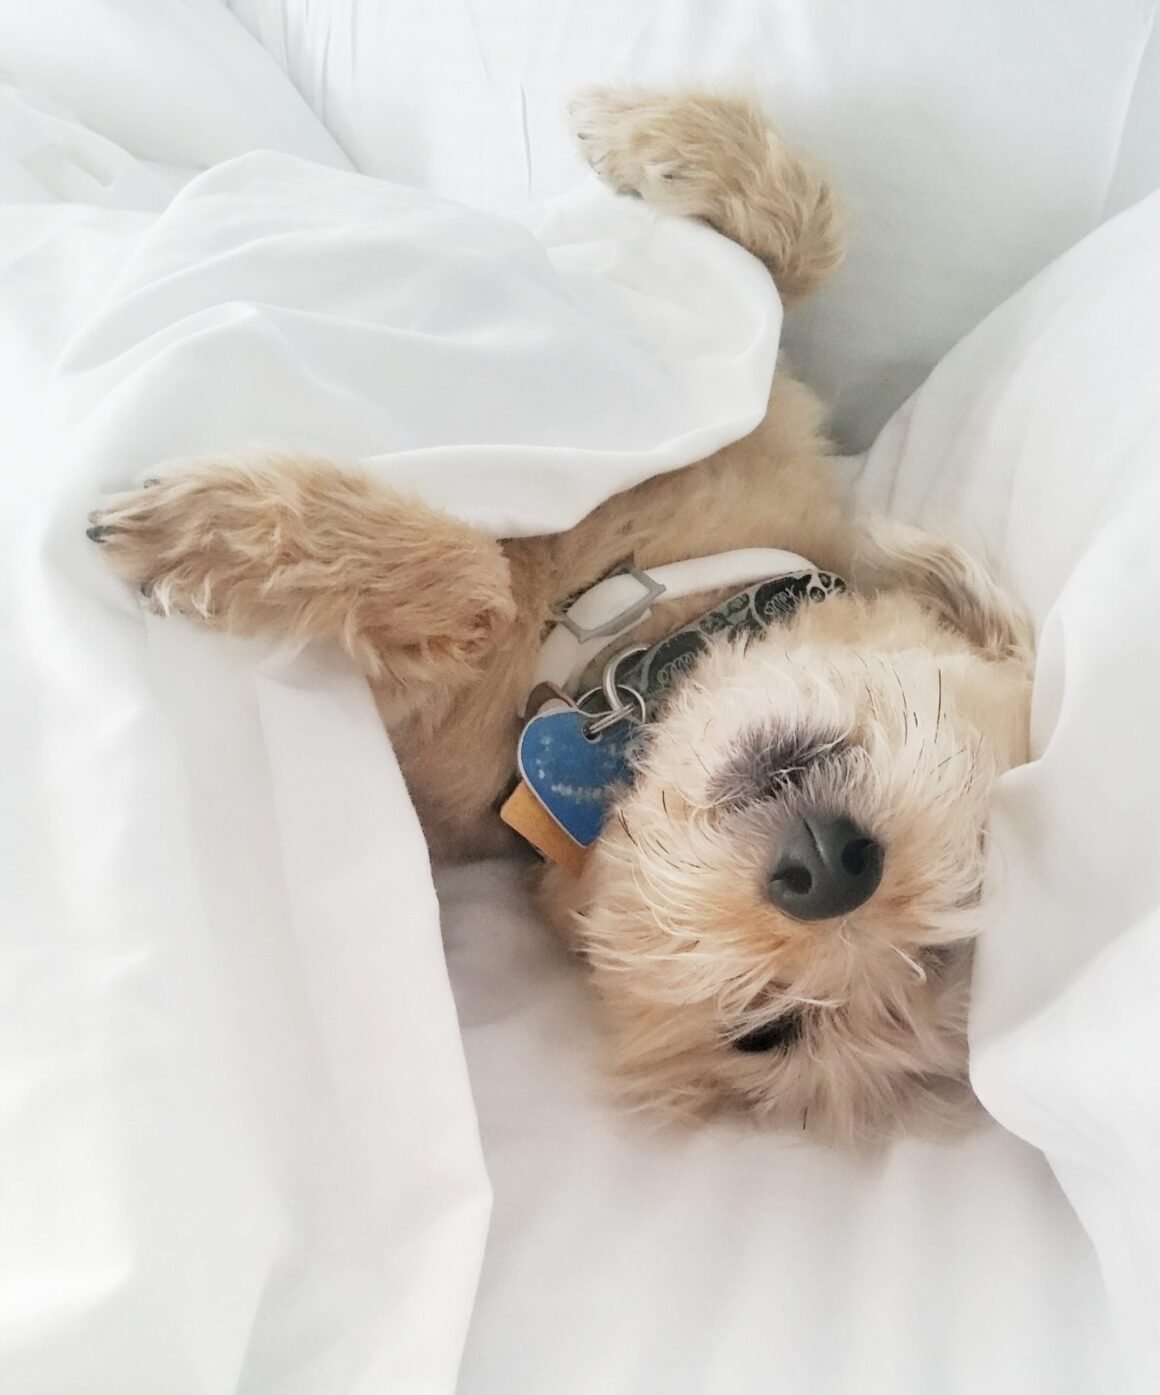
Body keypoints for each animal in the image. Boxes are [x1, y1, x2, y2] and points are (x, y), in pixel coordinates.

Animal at [90, 89, 1031, 1143]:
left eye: (763, 1028)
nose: (831, 870)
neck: (624, 639)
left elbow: (475, 585)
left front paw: (207, 533)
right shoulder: (762, 406)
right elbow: (800, 242)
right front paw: (649, 139)